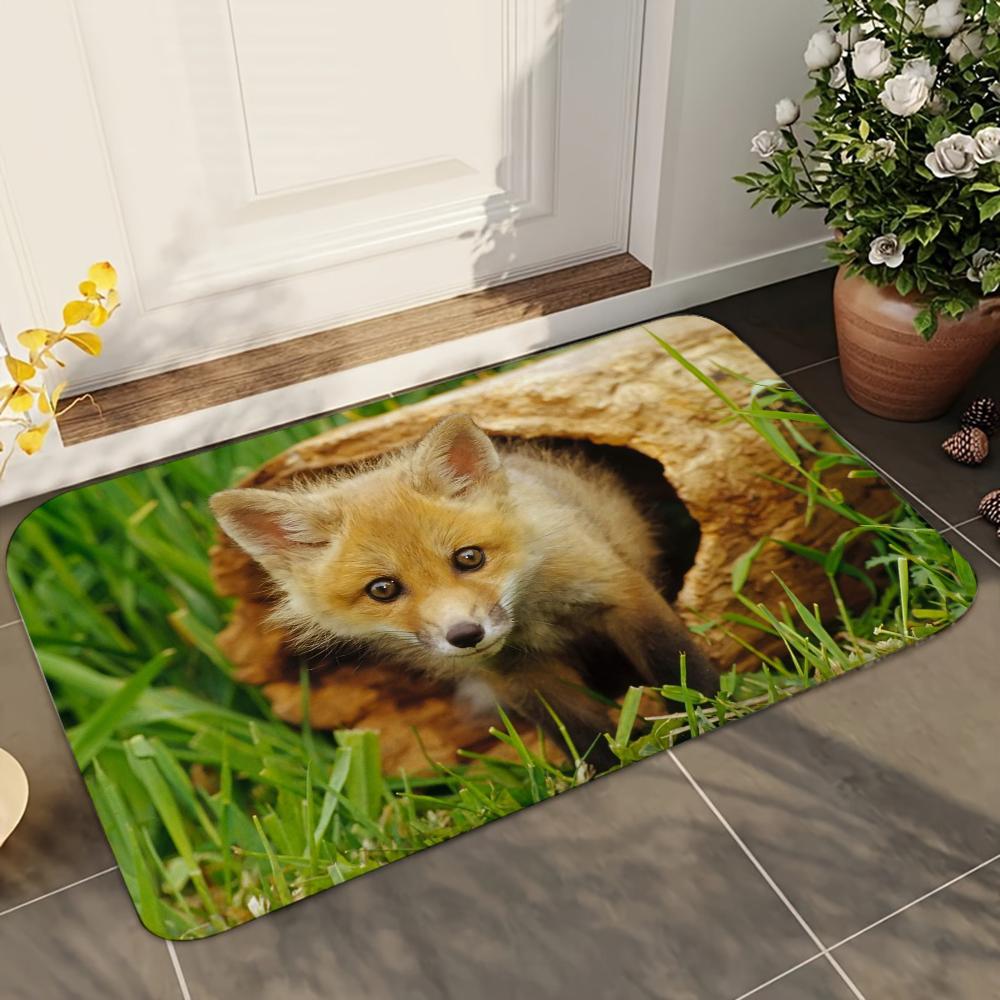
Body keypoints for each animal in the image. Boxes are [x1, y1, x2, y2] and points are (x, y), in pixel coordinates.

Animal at [210, 414, 719, 770]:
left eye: (469, 558)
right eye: (383, 589)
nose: (465, 634)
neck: (533, 619)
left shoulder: (617, 590)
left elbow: (679, 667)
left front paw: (713, 711)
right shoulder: (517, 674)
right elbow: (582, 734)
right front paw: (610, 765)